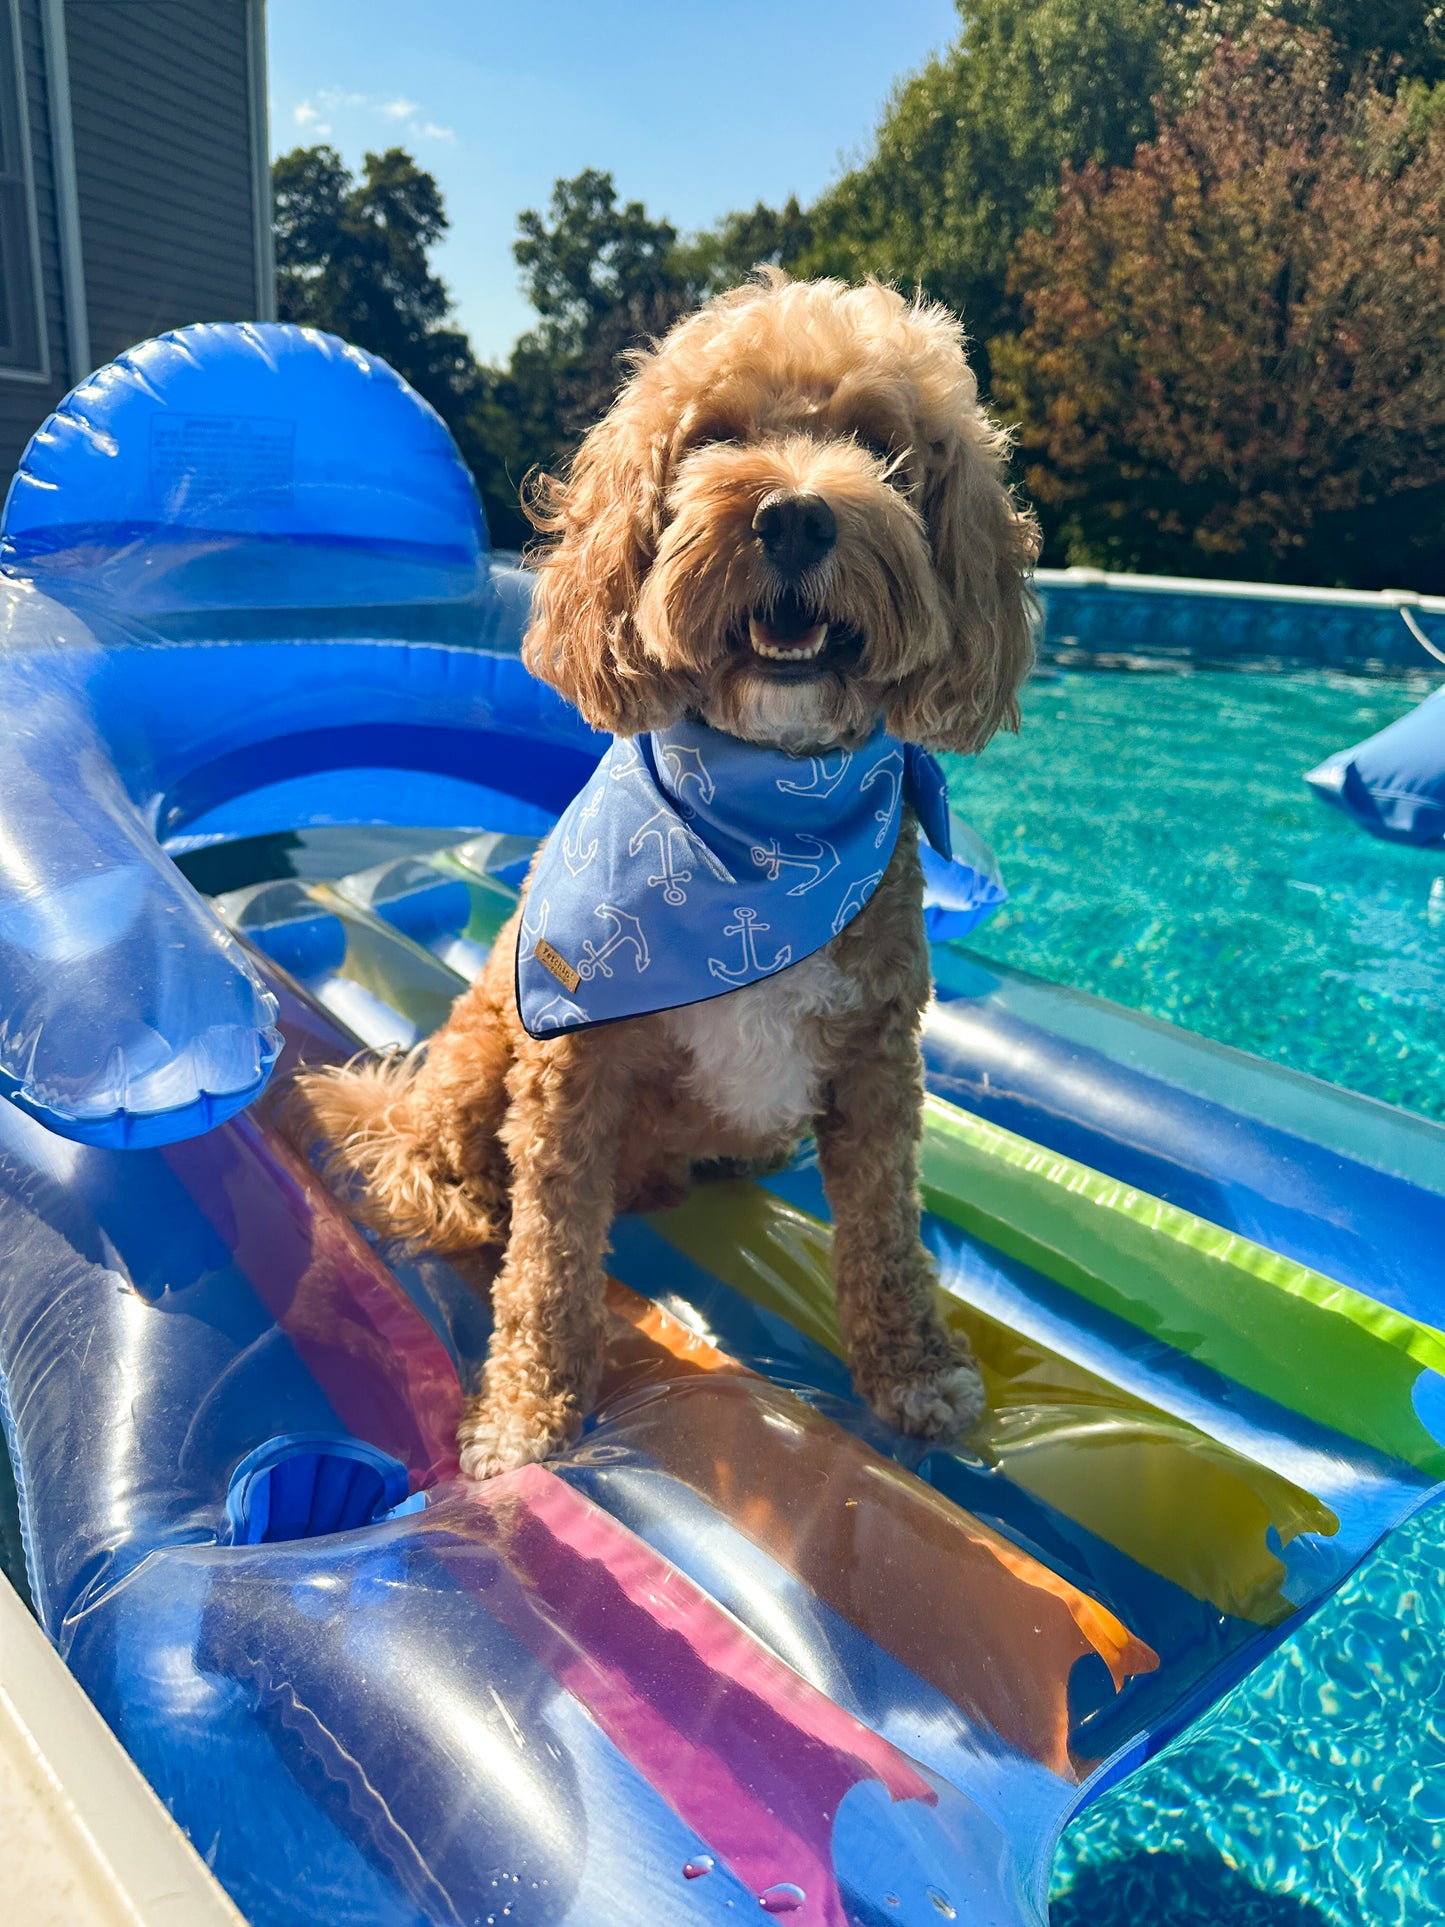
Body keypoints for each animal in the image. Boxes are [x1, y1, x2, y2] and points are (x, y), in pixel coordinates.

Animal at [290, 271, 1040, 1472]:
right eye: (713, 435)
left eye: (876, 443)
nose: (793, 514)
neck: (765, 829)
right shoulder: (570, 1069)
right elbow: (548, 1258)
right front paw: (524, 1412)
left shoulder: (878, 1056)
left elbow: (883, 1228)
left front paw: (911, 1370)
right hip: (477, 1048)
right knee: (438, 1166)